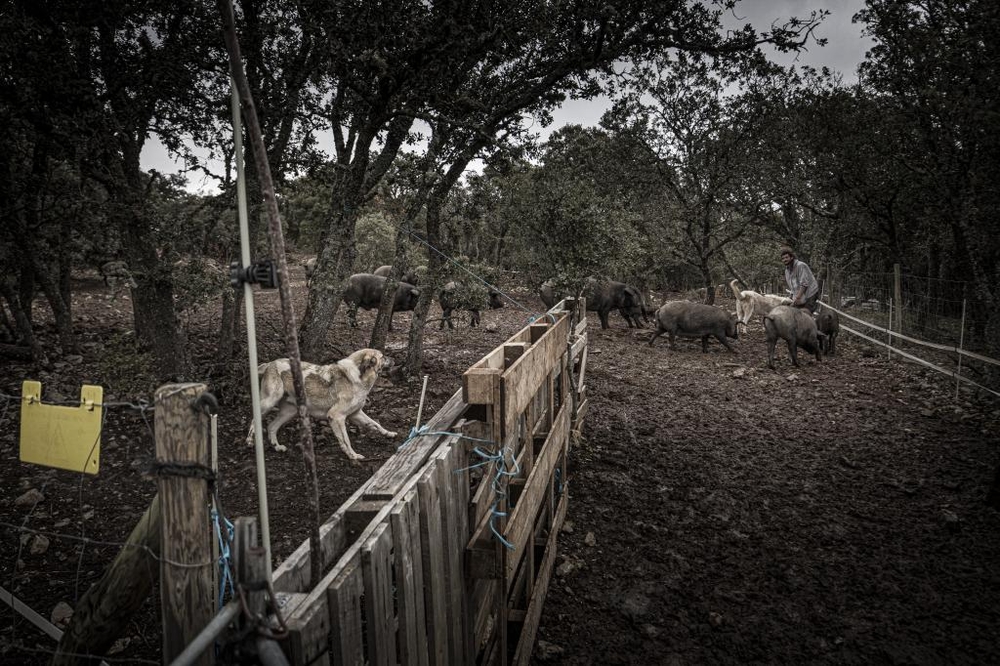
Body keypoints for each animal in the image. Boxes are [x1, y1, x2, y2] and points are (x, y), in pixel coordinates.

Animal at [244, 344, 396, 460]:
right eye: (383, 357)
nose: (394, 359)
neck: (358, 378)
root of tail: (269, 364)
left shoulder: (356, 414)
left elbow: (375, 424)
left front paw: (389, 434)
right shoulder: (336, 416)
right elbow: (346, 440)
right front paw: (353, 455)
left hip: (289, 412)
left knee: (271, 426)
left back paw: (277, 447)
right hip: (270, 401)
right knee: (254, 418)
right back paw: (250, 441)